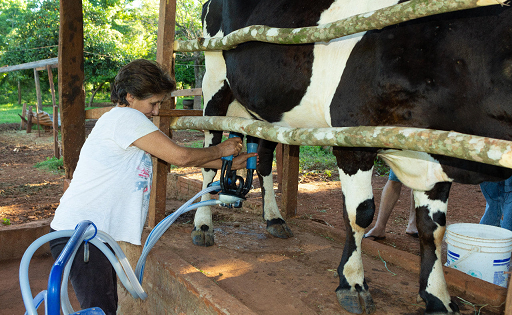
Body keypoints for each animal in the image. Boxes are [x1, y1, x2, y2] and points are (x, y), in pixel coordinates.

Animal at [194, 1, 512, 314]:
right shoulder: (352, 141)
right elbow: (361, 212)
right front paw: (352, 283)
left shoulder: (439, 155)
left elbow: (433, 228)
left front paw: (437, 297)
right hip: (214, 85)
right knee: (210, 161)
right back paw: (203, 225)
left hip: (266, 109)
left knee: (261, 161)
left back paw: (274, 219)